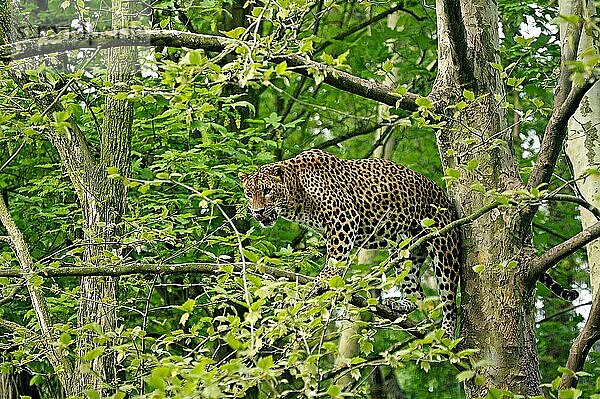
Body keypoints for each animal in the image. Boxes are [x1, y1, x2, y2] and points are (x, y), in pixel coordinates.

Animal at [240, 148, 580, 336]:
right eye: (248, 193)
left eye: (267, 191)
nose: (256, 212)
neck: (296, 197)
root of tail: (448, 200)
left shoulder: (344, 221)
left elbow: (334, 261)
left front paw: (320, 284)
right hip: (405, 247)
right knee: (417, 291)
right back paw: (401, 304)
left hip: (443, 248)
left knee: (448, 299)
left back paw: (447, 334)